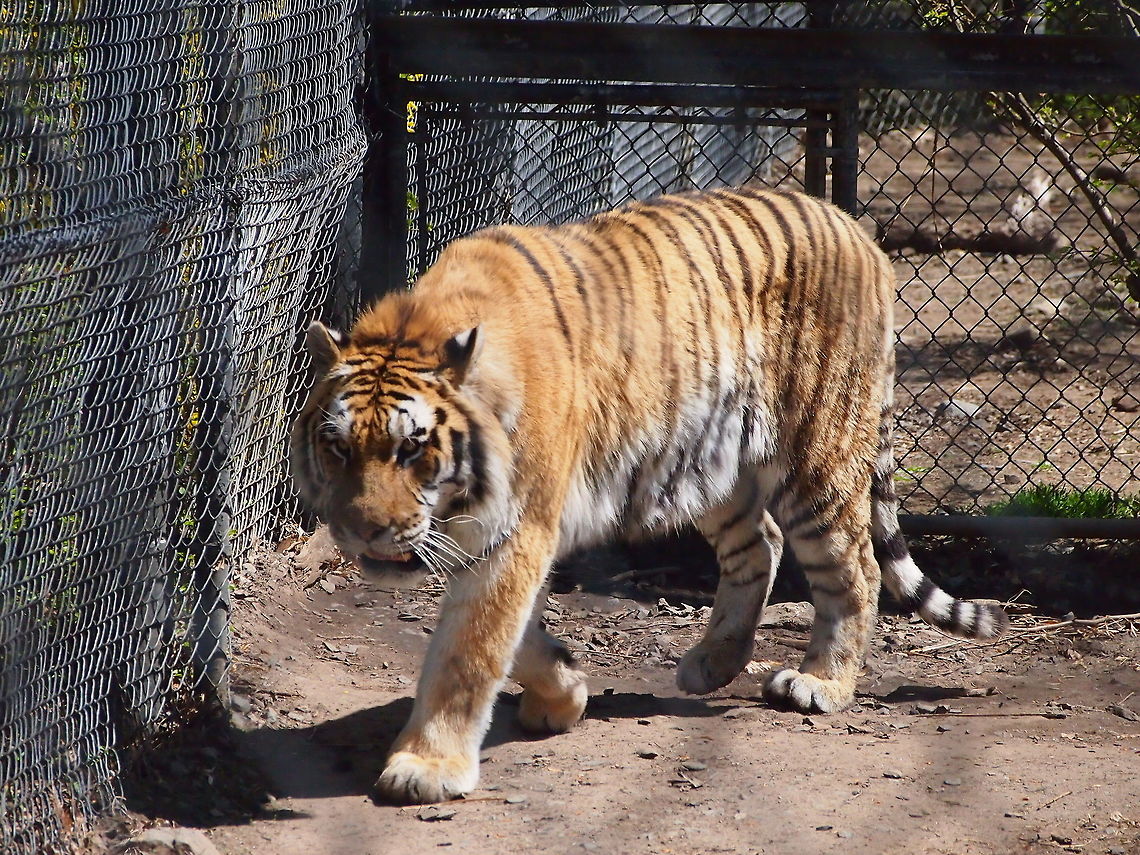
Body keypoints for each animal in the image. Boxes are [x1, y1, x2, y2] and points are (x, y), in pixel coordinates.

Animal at [290, 185, 1009, 805]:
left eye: (411, 449)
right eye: (339, 448)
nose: (364, 531)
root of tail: (856, 228)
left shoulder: (516, 529)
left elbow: (469, 650)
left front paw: (427, 765)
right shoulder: (506, 538)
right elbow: (518, 637)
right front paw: (563, 693)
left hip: (816, 454)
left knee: (854, 567)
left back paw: (820, 683)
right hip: (710, 465)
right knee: (762, 545)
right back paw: (713, 663)